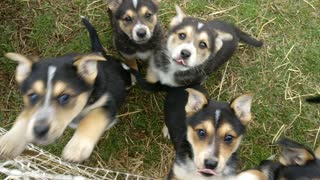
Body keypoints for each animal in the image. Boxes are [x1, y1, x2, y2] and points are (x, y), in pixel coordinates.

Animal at [0, 17, 131, 162]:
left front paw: (76, 148)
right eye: (33, 96)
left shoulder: (108, 103)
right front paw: (9, 141)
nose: (39, 131)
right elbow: (26, 115)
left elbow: (92, 117)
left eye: (65, 97)